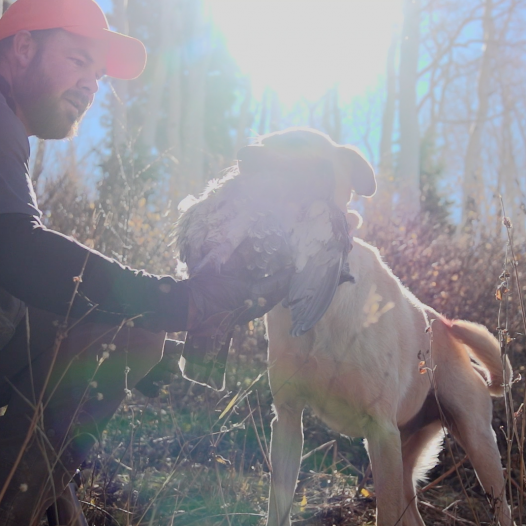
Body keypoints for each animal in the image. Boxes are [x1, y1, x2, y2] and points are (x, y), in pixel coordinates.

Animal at [266, 231, 512, 526]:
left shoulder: (381, 431)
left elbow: (384, 514)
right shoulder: (287, 418)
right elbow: (278, 506)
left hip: (478, 446)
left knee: (503, 510)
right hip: (404, 461)